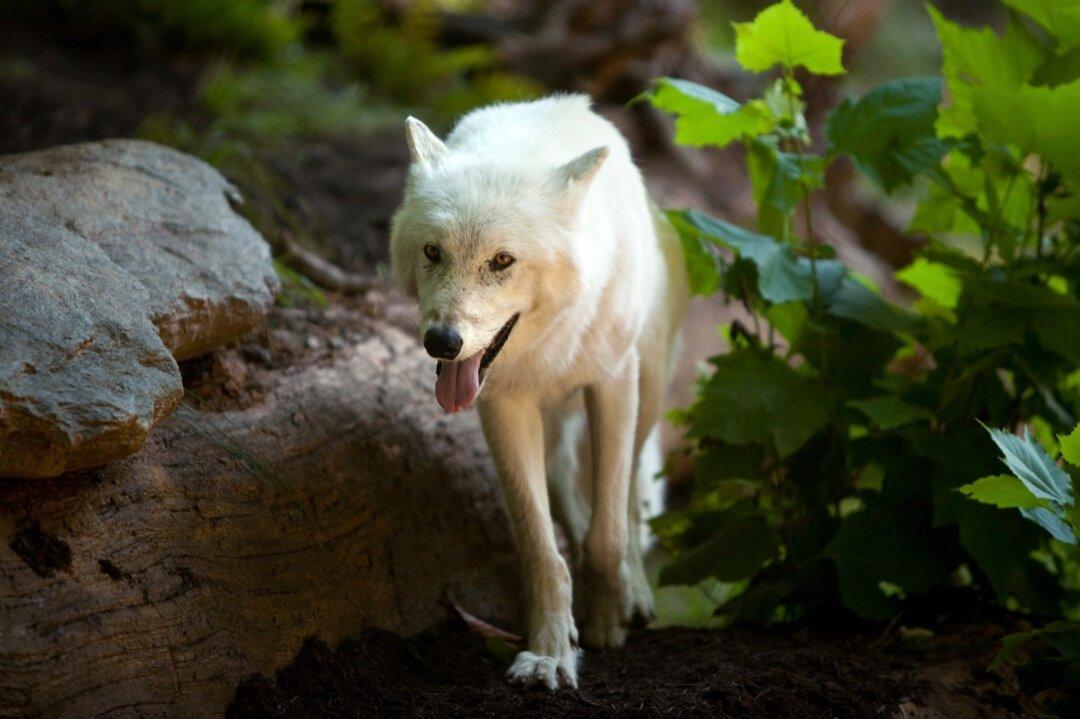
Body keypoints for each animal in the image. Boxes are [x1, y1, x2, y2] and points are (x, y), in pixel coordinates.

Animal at [390, 95, 688, 690]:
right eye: (433, 251)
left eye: (502, 260)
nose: (442, 341)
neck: (549, 343)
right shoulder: (504, 408)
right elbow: (541, 549)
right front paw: (551, 653)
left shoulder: (613, 385)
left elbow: (608, 532)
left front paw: (605, 623)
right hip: (552, 427)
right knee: (566, 485)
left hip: (645, 393)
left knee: (627, 502)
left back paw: (635, 594)